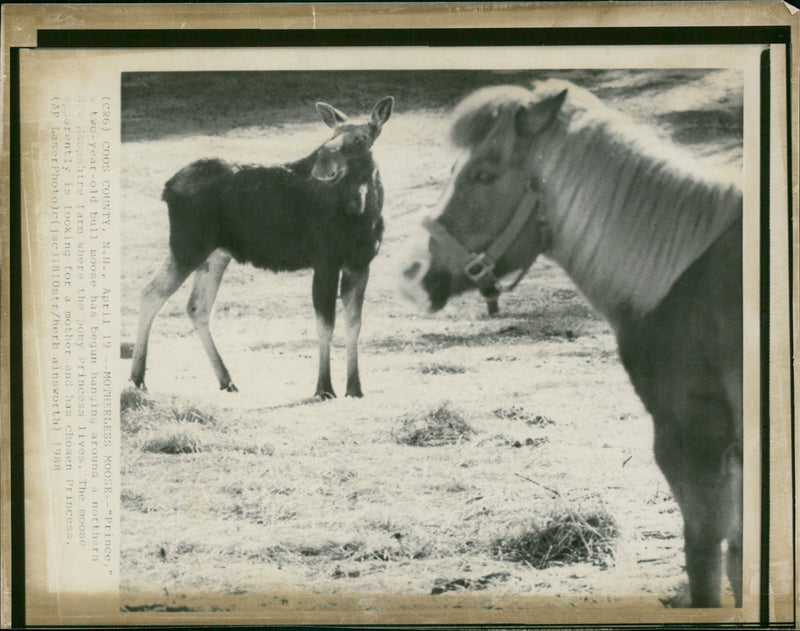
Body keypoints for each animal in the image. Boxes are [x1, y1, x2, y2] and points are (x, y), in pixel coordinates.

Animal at [130, 95, 396, 398]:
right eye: (333, 135)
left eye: (362, 138)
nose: (322, 164)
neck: (364, 212)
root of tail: (167, 188)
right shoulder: (325, 261)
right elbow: (325, 326)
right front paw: (323, 388)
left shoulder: (360, 264)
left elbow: (354, 325)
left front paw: (354, 388)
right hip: (187, 246)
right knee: (151, 293)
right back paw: (138, 378)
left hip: (215, 254)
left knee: (197, 307)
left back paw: (226, 379)